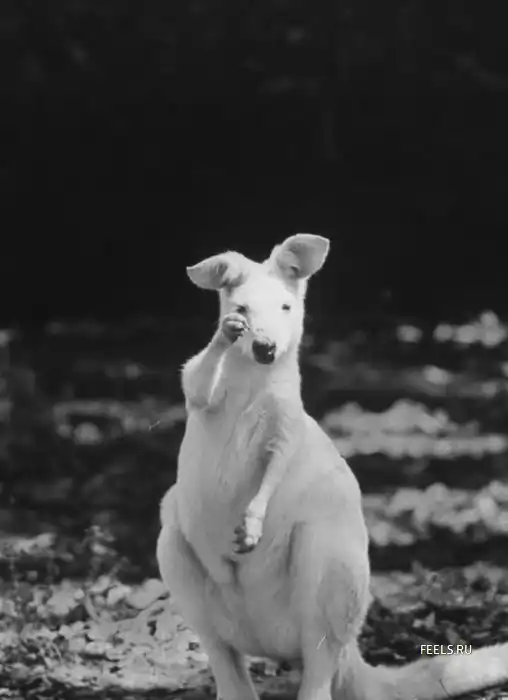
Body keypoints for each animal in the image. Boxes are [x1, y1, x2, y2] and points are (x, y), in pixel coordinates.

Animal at [157, 234, 508, 700]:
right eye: (243, 309)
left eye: (286, 307)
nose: (266, 348)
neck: (252, 377)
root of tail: (270, 644)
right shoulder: (204, 392)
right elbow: (197, 382)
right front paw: (225, 333)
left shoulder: (286, 423)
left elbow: (277, 464)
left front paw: (250, 525)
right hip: (177, 551)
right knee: (223, 653)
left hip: (331, 558)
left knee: (320, 652)